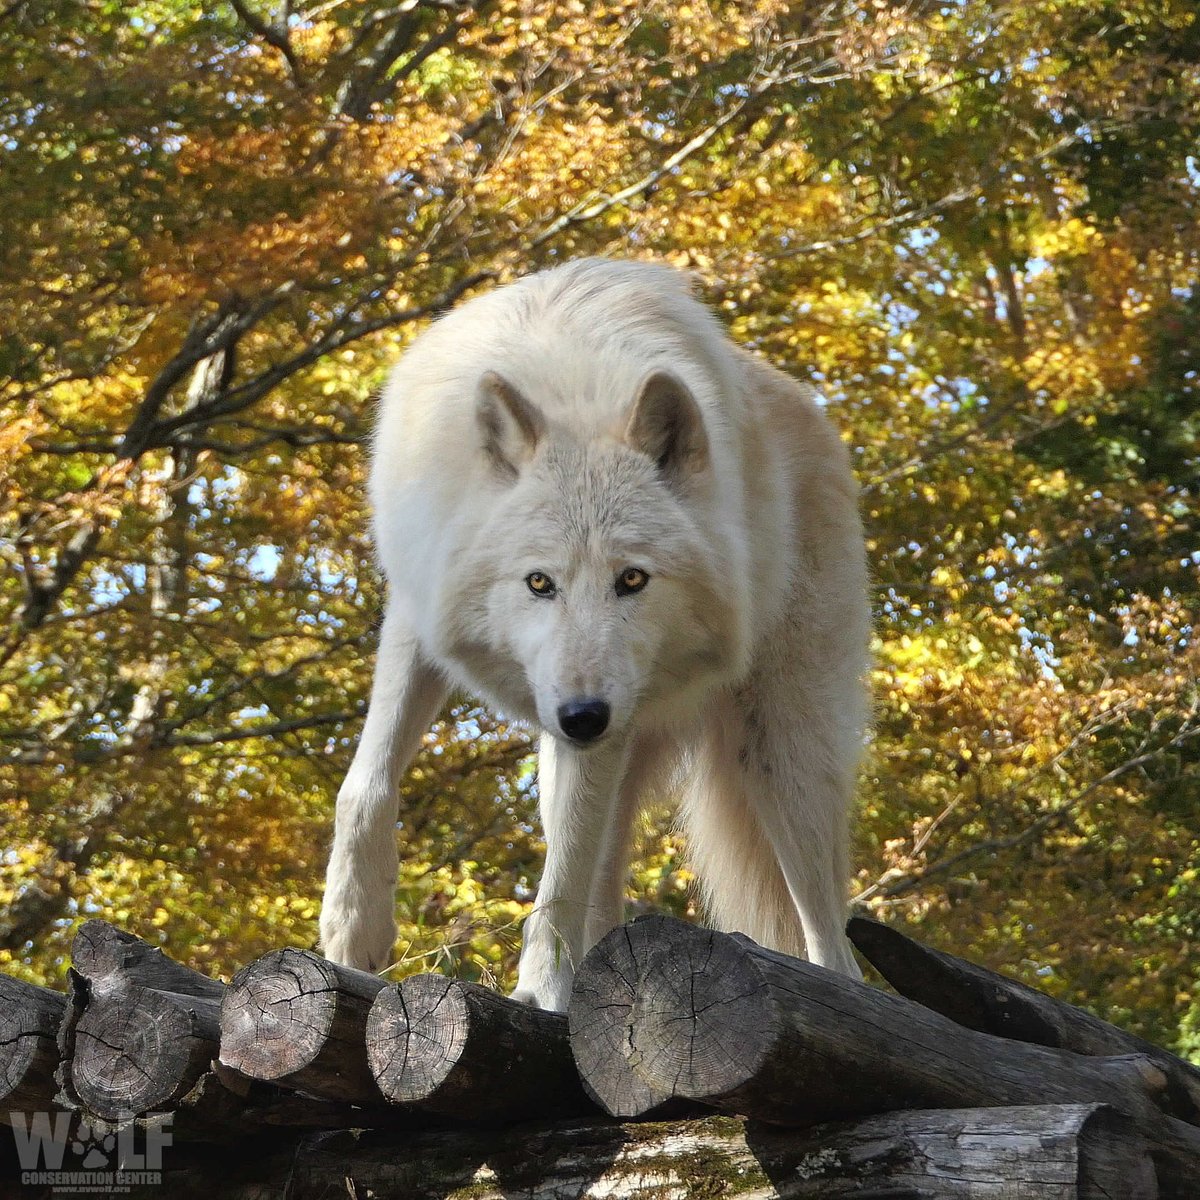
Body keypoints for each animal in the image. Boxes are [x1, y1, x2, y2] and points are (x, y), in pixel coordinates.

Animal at [319, 258, 871, 1011]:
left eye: (632, 580)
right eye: (538, 583)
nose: (583, 716)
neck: (573, 387)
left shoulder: (609, 718)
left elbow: (565, 870)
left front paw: (541, 989)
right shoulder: (420, 603)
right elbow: (367, 783)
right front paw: (353, 928)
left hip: (782, 757)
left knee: (829, 938)